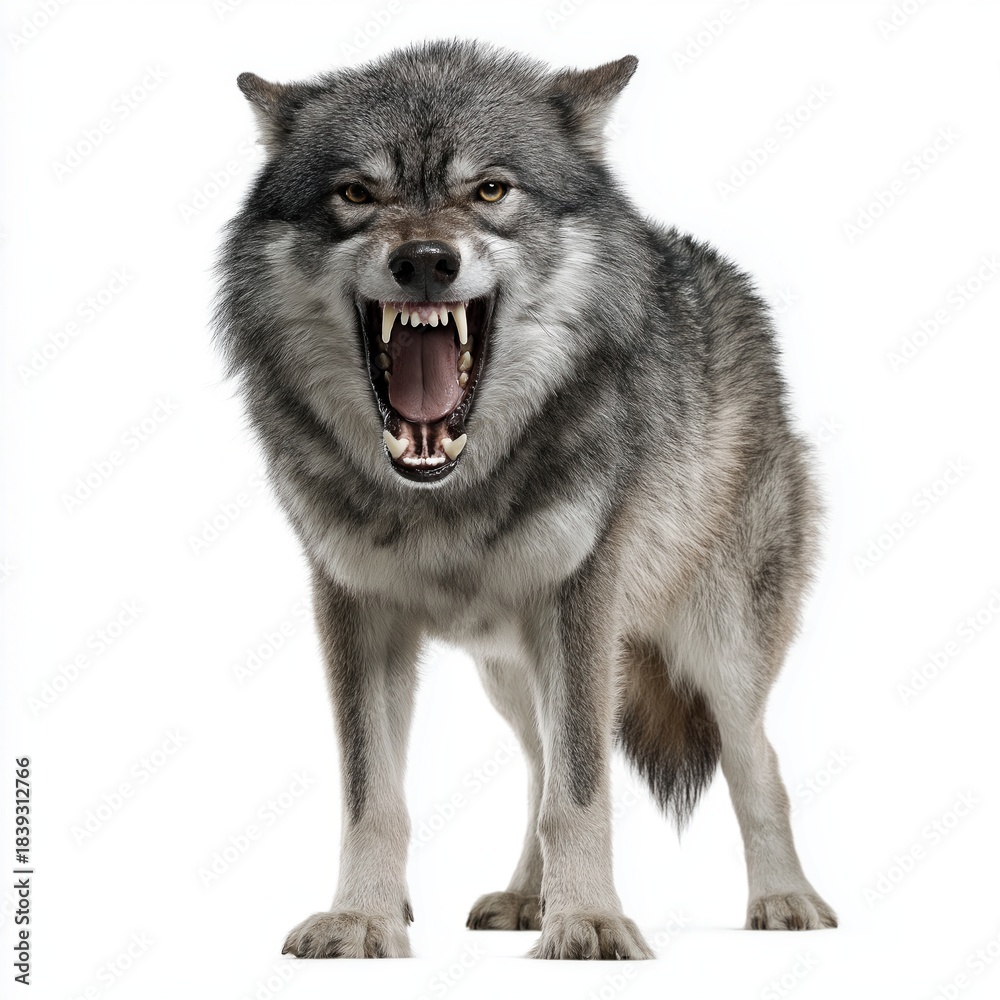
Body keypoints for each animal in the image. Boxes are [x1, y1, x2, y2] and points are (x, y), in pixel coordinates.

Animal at [214, 40, 837, 960]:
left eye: (491, 190)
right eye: (357, 193)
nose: (425, 261)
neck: (445, 495)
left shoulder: (580, 603)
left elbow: (581, 794)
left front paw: (590, 923)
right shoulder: (356, 612)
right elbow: (375, 797)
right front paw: (363, 917)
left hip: (714, 647)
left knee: (755, 760)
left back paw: (785, 900)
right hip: (512, 674)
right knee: (544, 759)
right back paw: (526, 897)